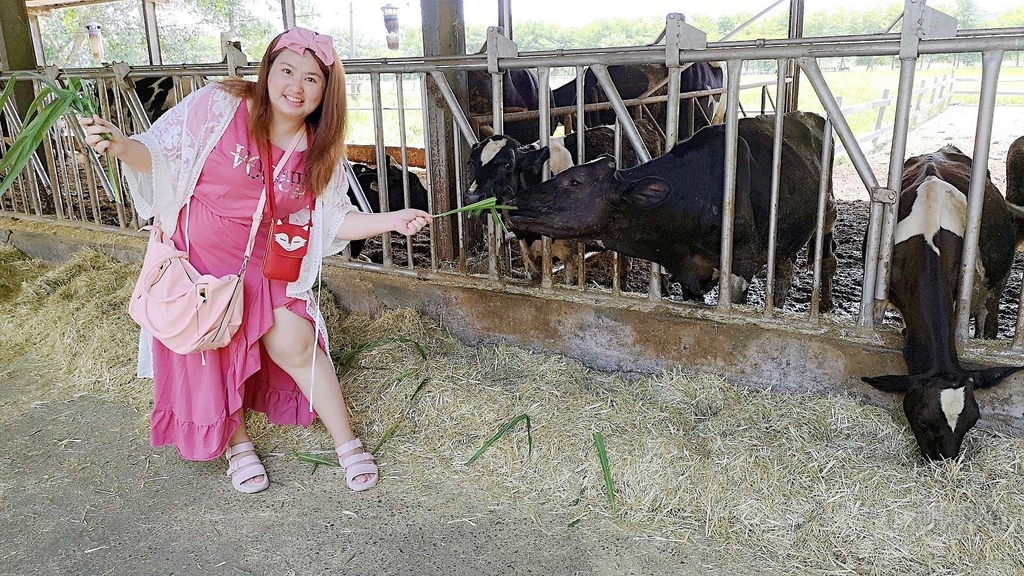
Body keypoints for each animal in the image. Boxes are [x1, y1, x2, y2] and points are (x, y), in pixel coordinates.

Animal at [503, 112, 831, 309]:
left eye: (574, 181)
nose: (516, 201)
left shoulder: (741, 265)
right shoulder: (688, 272)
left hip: (826, 213)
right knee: (785, 268)